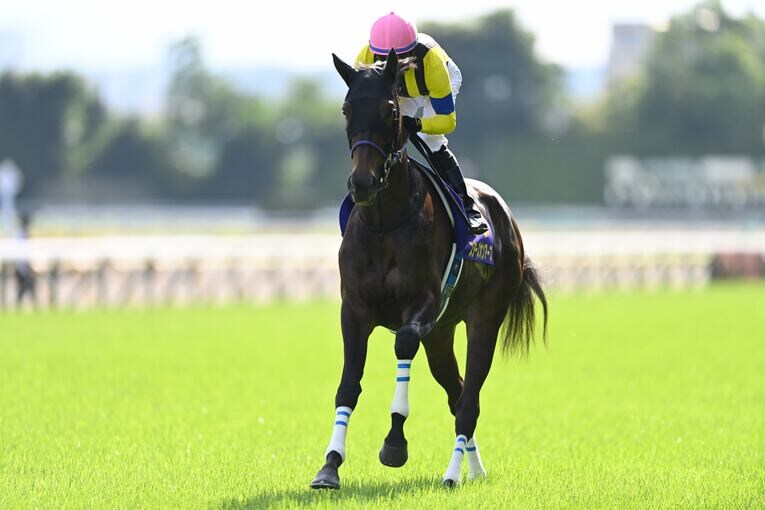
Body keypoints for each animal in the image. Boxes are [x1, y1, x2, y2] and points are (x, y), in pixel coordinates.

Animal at [310, 49, 548, 489]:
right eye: (346, 109)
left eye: (389, 111)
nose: (362, 183)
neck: (385, 221)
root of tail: (505, 213)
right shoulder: (354, 309)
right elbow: (348, 384)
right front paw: (330, 466)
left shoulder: (421, 303)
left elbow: (403, 345)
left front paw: (394, 444)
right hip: (441, 333)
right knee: (457, 393)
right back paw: (474, 469)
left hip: (483, 318)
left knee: (469, 399)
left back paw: (454, 474)